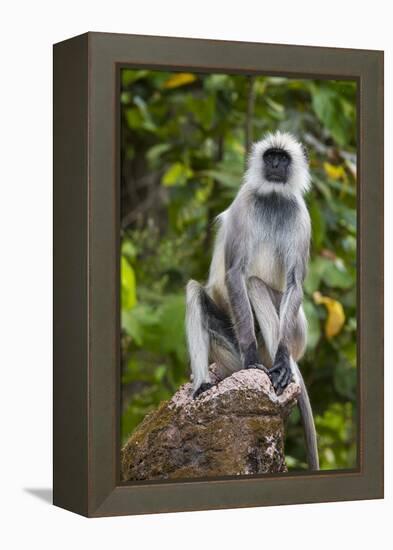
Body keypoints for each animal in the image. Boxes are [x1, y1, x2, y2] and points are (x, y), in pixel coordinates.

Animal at [185, 130, 318, 470]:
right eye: (270, 156)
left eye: (282, 158)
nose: (275, 165)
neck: (273, 198)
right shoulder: (246, 201)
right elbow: (234, 273)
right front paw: (249, 356)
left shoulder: (301, 213)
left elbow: (294, 281)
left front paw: (281, 361)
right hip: (229, 355)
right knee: (196, 291)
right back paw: (204, 384)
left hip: (299, 332)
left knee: (257, 286)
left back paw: (282, 369)